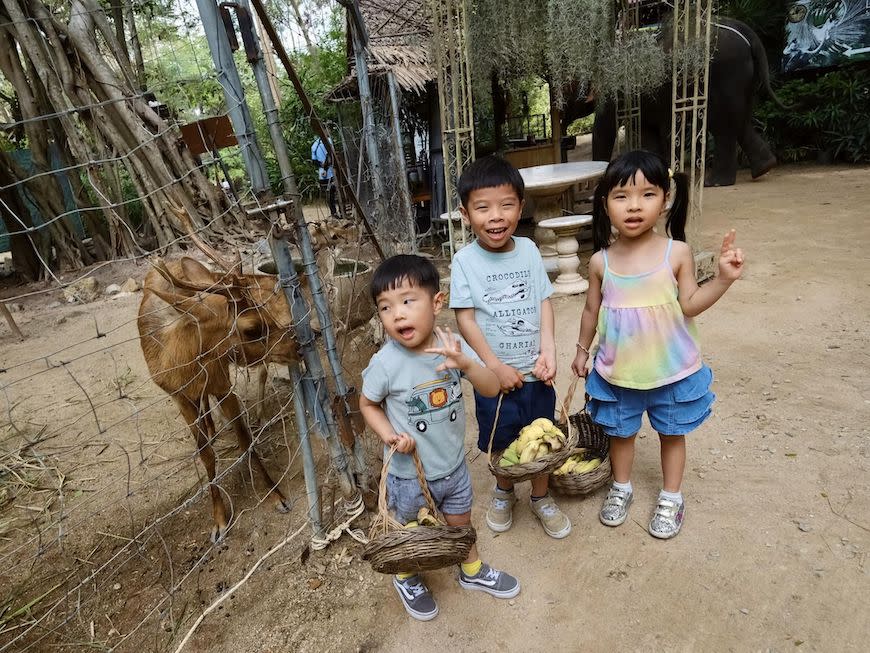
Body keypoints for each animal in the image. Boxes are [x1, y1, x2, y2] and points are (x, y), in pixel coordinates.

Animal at [137, 255, 300, 540]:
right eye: (252, 329)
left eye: (264, 310)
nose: (297, 346)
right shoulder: (179, 396)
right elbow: (205, 454)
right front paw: (219, 521)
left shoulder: (223, 385)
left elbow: (245, 440)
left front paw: (276, 496)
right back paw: (213, 427)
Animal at [592, 17, 784, 186]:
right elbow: (649, 132)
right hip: (746, 78)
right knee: (741, 120)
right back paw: (764, 167)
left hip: (727, 73)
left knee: (723, 124)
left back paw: (714, 183)